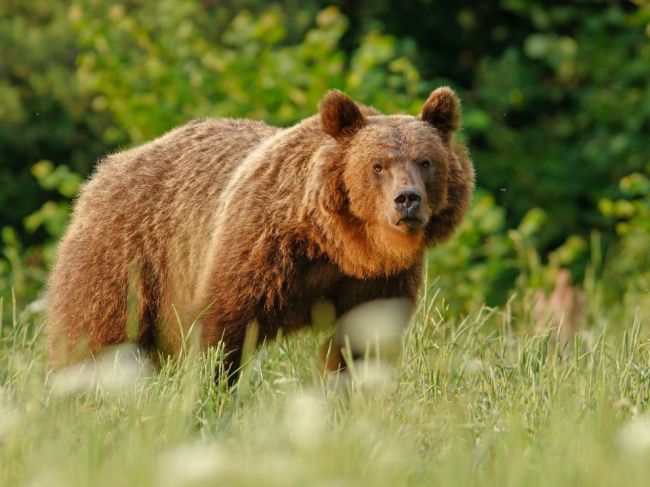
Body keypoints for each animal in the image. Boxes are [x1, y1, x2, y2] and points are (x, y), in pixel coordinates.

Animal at [44, 87, 470, 382]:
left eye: (426, 162)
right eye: (377, 165)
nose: (407, 199)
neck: (339, 246)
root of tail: (108, 167)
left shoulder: (379, 280)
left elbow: (363, 343)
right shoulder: (261, 248)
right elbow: (220, 329)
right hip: (126, 255)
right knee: (95, 333)